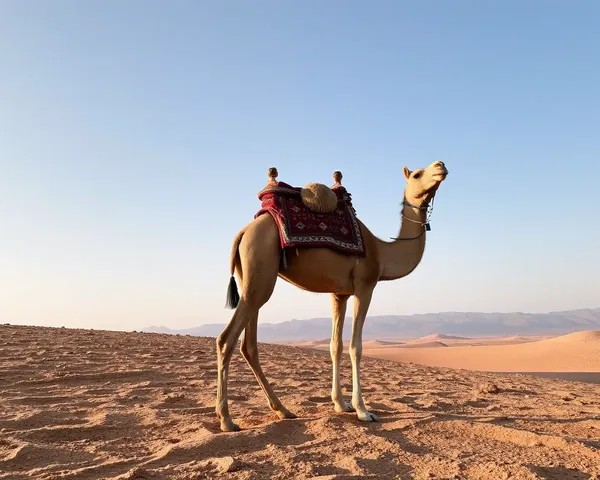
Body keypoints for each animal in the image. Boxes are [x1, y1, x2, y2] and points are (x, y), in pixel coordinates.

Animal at [218, 160, 448, 432]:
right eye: (417, 174)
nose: (441, 166)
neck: (382, 253)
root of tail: (243, 232)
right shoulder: (365, 286)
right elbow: (355, 347)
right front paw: (362, 410)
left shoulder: (339, 294)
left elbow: (334, 346)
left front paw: (341, 404)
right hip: (259, 271)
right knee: (226, 340)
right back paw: (226, 419)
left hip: (253, 281)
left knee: (249, 345)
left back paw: (283, 410)